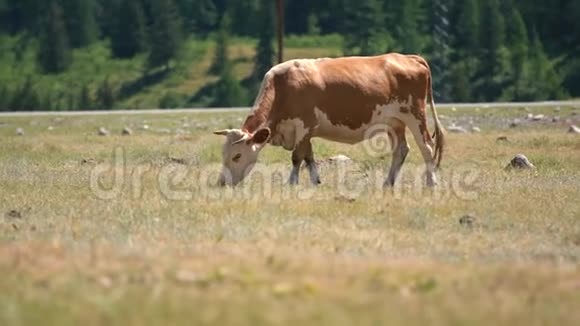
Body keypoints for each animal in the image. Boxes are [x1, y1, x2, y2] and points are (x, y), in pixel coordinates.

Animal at [213, 52, 444, 187]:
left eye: (237, 156)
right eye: (223, 154)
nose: (222, 182)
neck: (283, 87)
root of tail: (409, 57)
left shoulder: (304, 126)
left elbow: (297, 157)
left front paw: (292, 183)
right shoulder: (305, 132)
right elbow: (308, 157)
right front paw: (315, 182)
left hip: (415, 114)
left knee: (427, 147)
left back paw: (431, 183)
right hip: (394, 122)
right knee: (401, 150)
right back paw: (388, 183)